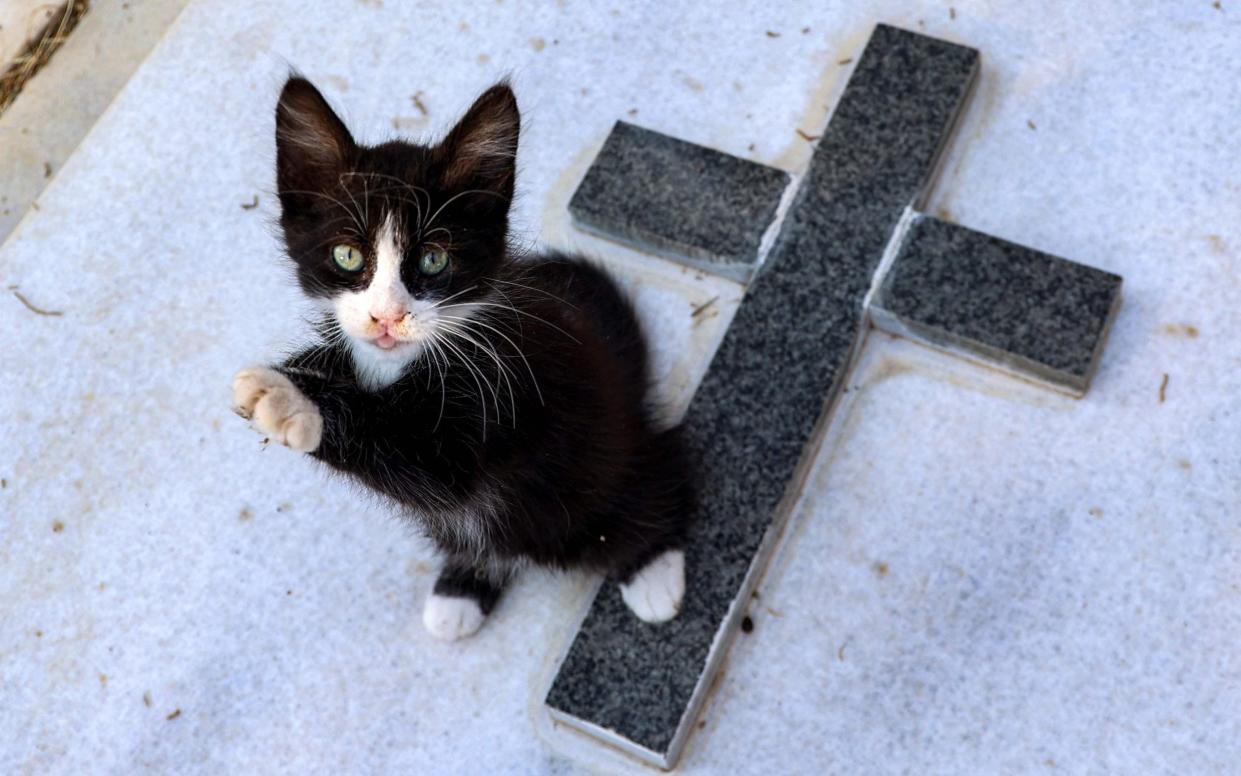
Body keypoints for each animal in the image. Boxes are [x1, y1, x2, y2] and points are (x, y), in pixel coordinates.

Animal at [233, 75, 694, 640]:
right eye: (348, 255)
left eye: (434, 259)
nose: (386, 318)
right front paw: (297, 377)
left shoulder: (502, 395)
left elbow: (416, 458)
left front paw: (289, 397)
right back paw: (462, 588)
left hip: (601, 464)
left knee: (651, 481)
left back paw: (652, 567)